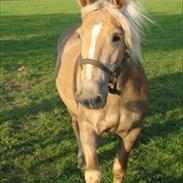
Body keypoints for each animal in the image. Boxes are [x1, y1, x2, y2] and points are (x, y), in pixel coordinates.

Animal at [56, 0, 150, 182]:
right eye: (80, 36)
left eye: (117, 37)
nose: (89, 97)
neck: (117, 99)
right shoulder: (89, 130)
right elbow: (93, 174)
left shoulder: (133, 131)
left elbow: (119, 168)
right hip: (73, 112)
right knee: (76, 130)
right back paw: (81, 160)